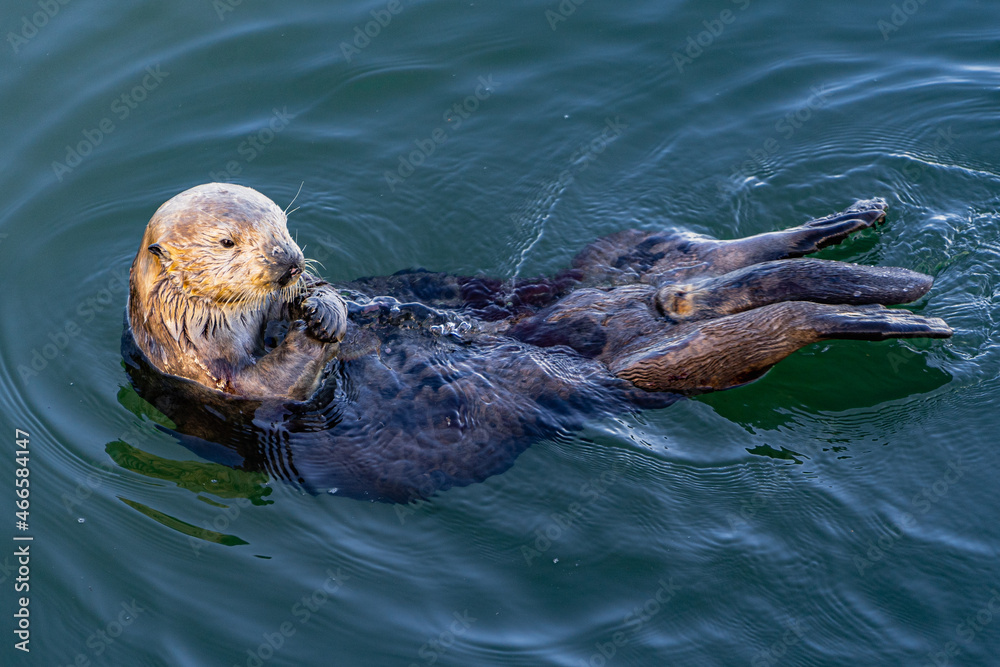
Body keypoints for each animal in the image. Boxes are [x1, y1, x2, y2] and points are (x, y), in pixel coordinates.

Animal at [123, 184, 952, 501]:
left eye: (285, 225)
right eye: (230, 241)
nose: (290, 261)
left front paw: (331, 304)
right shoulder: (219, 384)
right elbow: (277, 383)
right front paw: (318, 319)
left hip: (621, 257)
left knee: (713, 265)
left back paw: (856, 224)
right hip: (647, 364)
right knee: (756, 320)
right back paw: (901, 310)